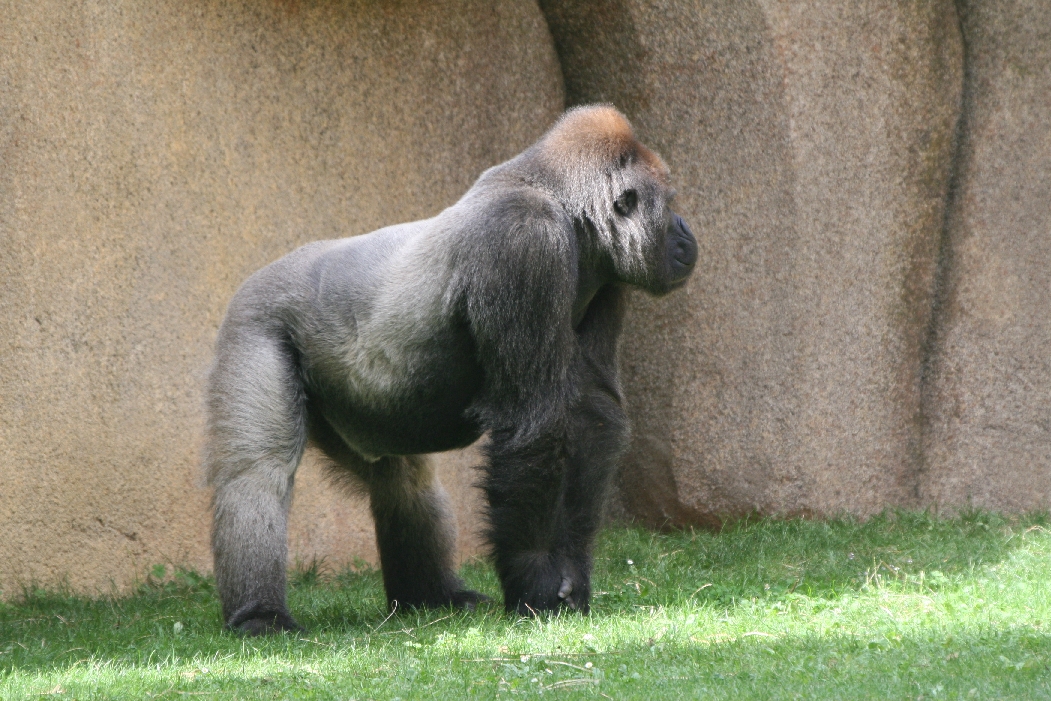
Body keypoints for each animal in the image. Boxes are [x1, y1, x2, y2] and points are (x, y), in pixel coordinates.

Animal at [204, 105, 697, 634]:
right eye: (669, 204)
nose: (687, 230)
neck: (563, 202)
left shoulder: (607, 274)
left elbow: (592, 415)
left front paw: (571, 574)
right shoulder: (523, 241)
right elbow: (535, 421)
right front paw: (537, 580)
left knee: (402, 481)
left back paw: (430, 595)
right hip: (254, 320)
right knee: (258, 472)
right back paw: (260, 614)